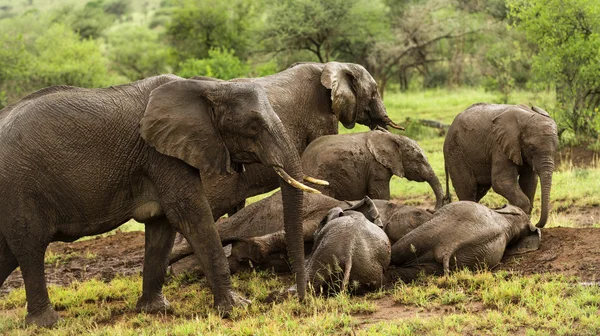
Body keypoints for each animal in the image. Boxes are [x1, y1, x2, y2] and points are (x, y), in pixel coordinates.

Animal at [0, 75, 318, 326]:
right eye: (253, 126)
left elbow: (162, 224)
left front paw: (155, 310)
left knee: (7, 252)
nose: (299, 299)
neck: (208, 87)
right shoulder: (161, 155)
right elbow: (190, 214)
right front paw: (237, 307)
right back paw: (47, 323)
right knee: (30, 245)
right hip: (19, 186)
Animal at [166, 192, 434, 276]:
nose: (433, 213)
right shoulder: (322, 211)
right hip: (249, 212)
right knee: (221, 232)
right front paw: (252, 249)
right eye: (419, 213)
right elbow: (303, 230)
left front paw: (248, 253)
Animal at [300, 130, 446, 209]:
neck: (392, 136)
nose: (432, 210)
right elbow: (380, 194)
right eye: (419, 159)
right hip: (320, 176)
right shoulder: (376, 166)